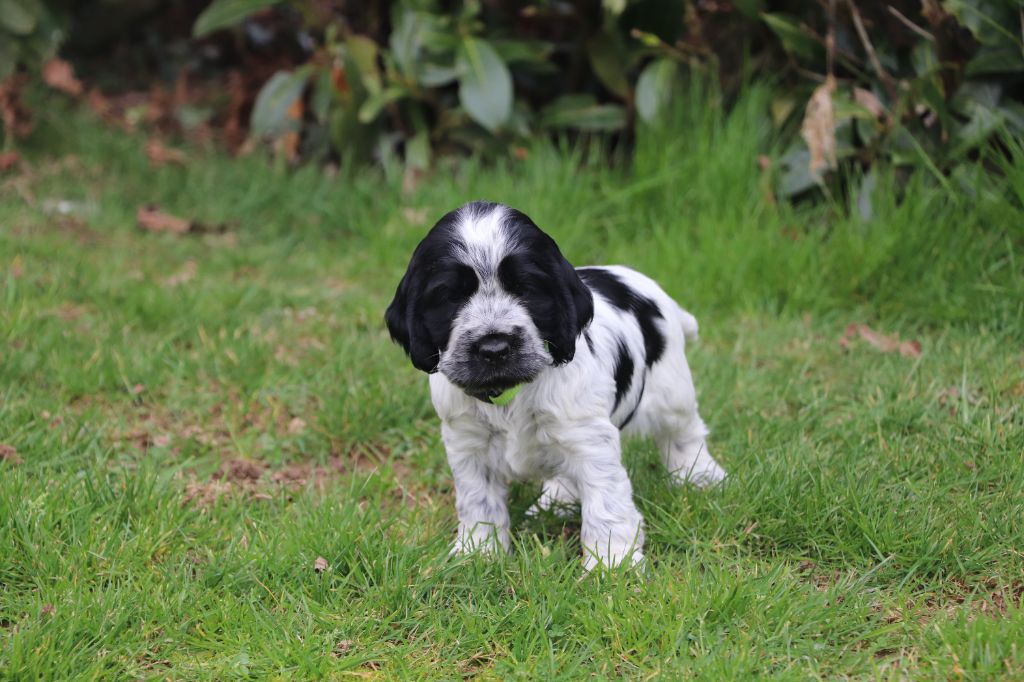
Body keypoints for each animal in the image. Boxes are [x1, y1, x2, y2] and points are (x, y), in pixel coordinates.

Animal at [385, 200, 729, 569]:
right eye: (450, 296)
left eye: (526, 290)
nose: (494, 347)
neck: (511, 391)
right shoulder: (467, 441)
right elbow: (478, 500)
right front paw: (479, 553)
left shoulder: (588, 437)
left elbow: (605, 500)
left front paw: (611, 563)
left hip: (671, 393)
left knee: (684, 434)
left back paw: (702, 477)